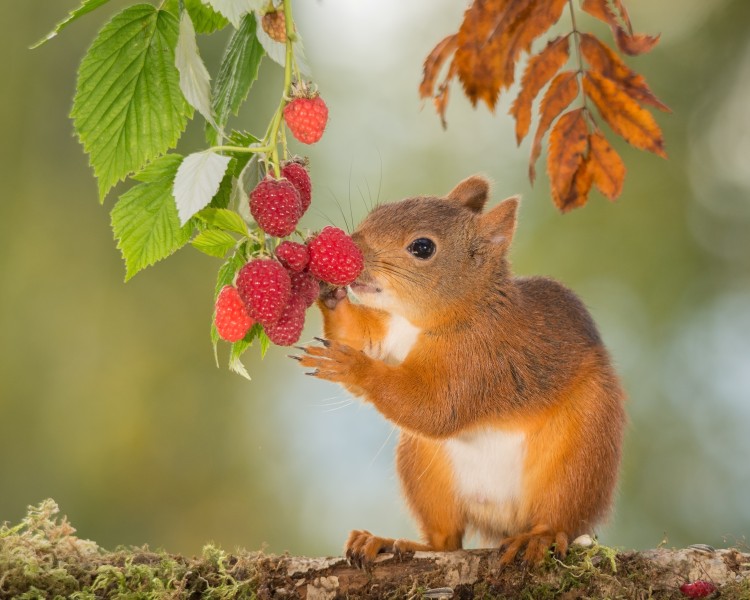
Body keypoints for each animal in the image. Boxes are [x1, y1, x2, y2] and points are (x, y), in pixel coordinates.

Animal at [296, 175, 624, 568]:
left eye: (422, 247)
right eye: (378, 210)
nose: (351, 251)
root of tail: (502, 520)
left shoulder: (483, 360)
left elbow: (436, 408)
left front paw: (352, 366)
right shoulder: (389, 330)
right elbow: (359, 335)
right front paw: (330, 293)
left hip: (579, 457)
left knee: (558, 514)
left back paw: (538, 538)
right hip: (424, 469)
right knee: (446, 540)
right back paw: (385, 542)